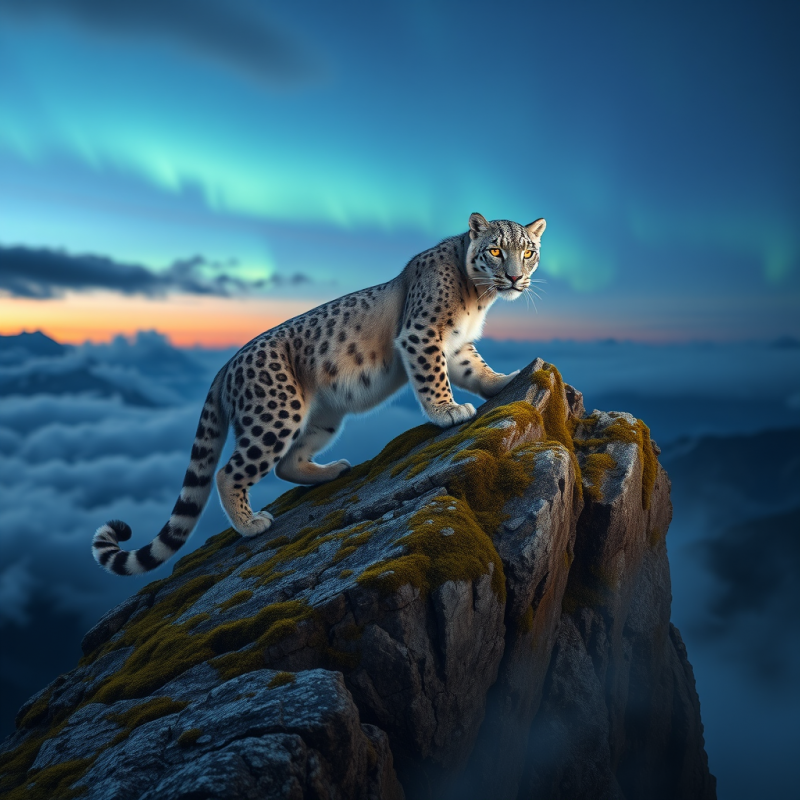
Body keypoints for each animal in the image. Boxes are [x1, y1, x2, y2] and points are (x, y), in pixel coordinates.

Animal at [92, 213, 546, 575]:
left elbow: (474, 368)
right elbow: (433, 377)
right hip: (276, 413)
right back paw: (251, 524)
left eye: (527, 252)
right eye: (495, 250)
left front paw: (503, 380)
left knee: (286, 463)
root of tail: (226, 365)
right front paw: (447, 410)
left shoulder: (456, 346)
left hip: (322, 417)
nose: (514, 278)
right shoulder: (422, 334)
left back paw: (332, 470)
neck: (479, 298)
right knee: (229, 472)